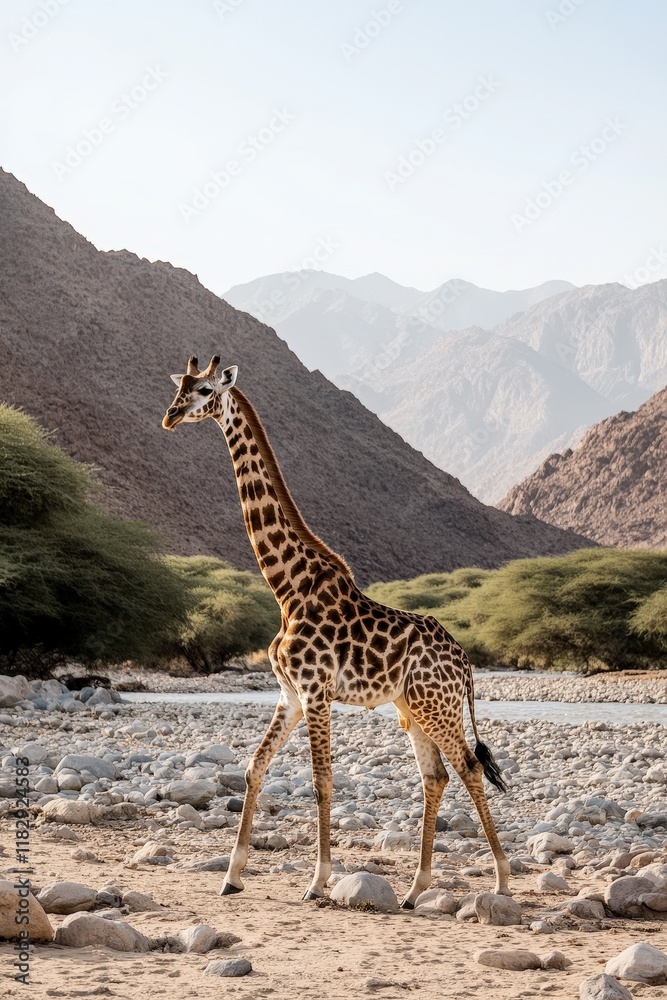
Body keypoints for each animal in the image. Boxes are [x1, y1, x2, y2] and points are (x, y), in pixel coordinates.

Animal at [163, 355, 510, 905]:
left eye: (203, 391)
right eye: (179, 386)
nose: (170, 417)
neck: (287, 586)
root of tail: (467, 665)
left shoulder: (316, 691)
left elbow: (322, 780)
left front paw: (318, 880)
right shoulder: (289, 694)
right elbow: (254, 767)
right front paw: (232, 875)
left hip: (437, 706)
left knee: (469, 768)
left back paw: (500, 879)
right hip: (414, 707)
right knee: (435, 776)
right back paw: (414, 889)